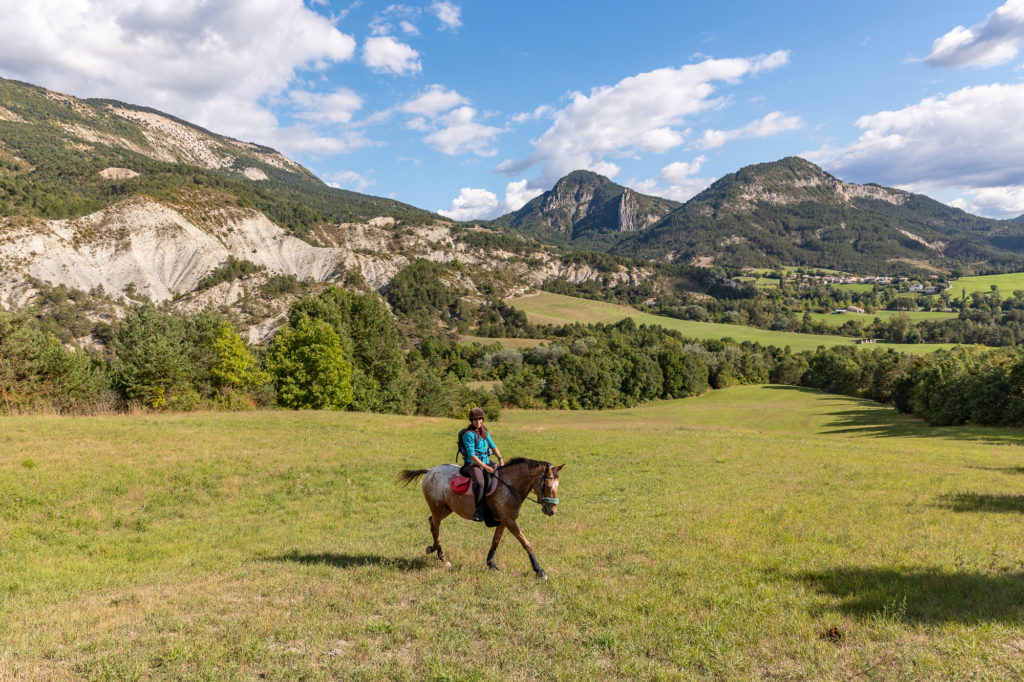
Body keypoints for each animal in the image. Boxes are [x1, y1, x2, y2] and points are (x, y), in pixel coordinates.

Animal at [395, 456, 565, 577]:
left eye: (558, 486)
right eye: (548, 486)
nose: (553, 511)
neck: (509, 485)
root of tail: (430, 472)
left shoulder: (504, 521)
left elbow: (495, 541)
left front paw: (490, 563)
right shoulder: (510, 521)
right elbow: (526, 543)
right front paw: (539, 570)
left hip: (446, 509)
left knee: (432, 523)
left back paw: (432, 549)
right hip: (438, 509)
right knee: (435, 528)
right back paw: (442, 558)